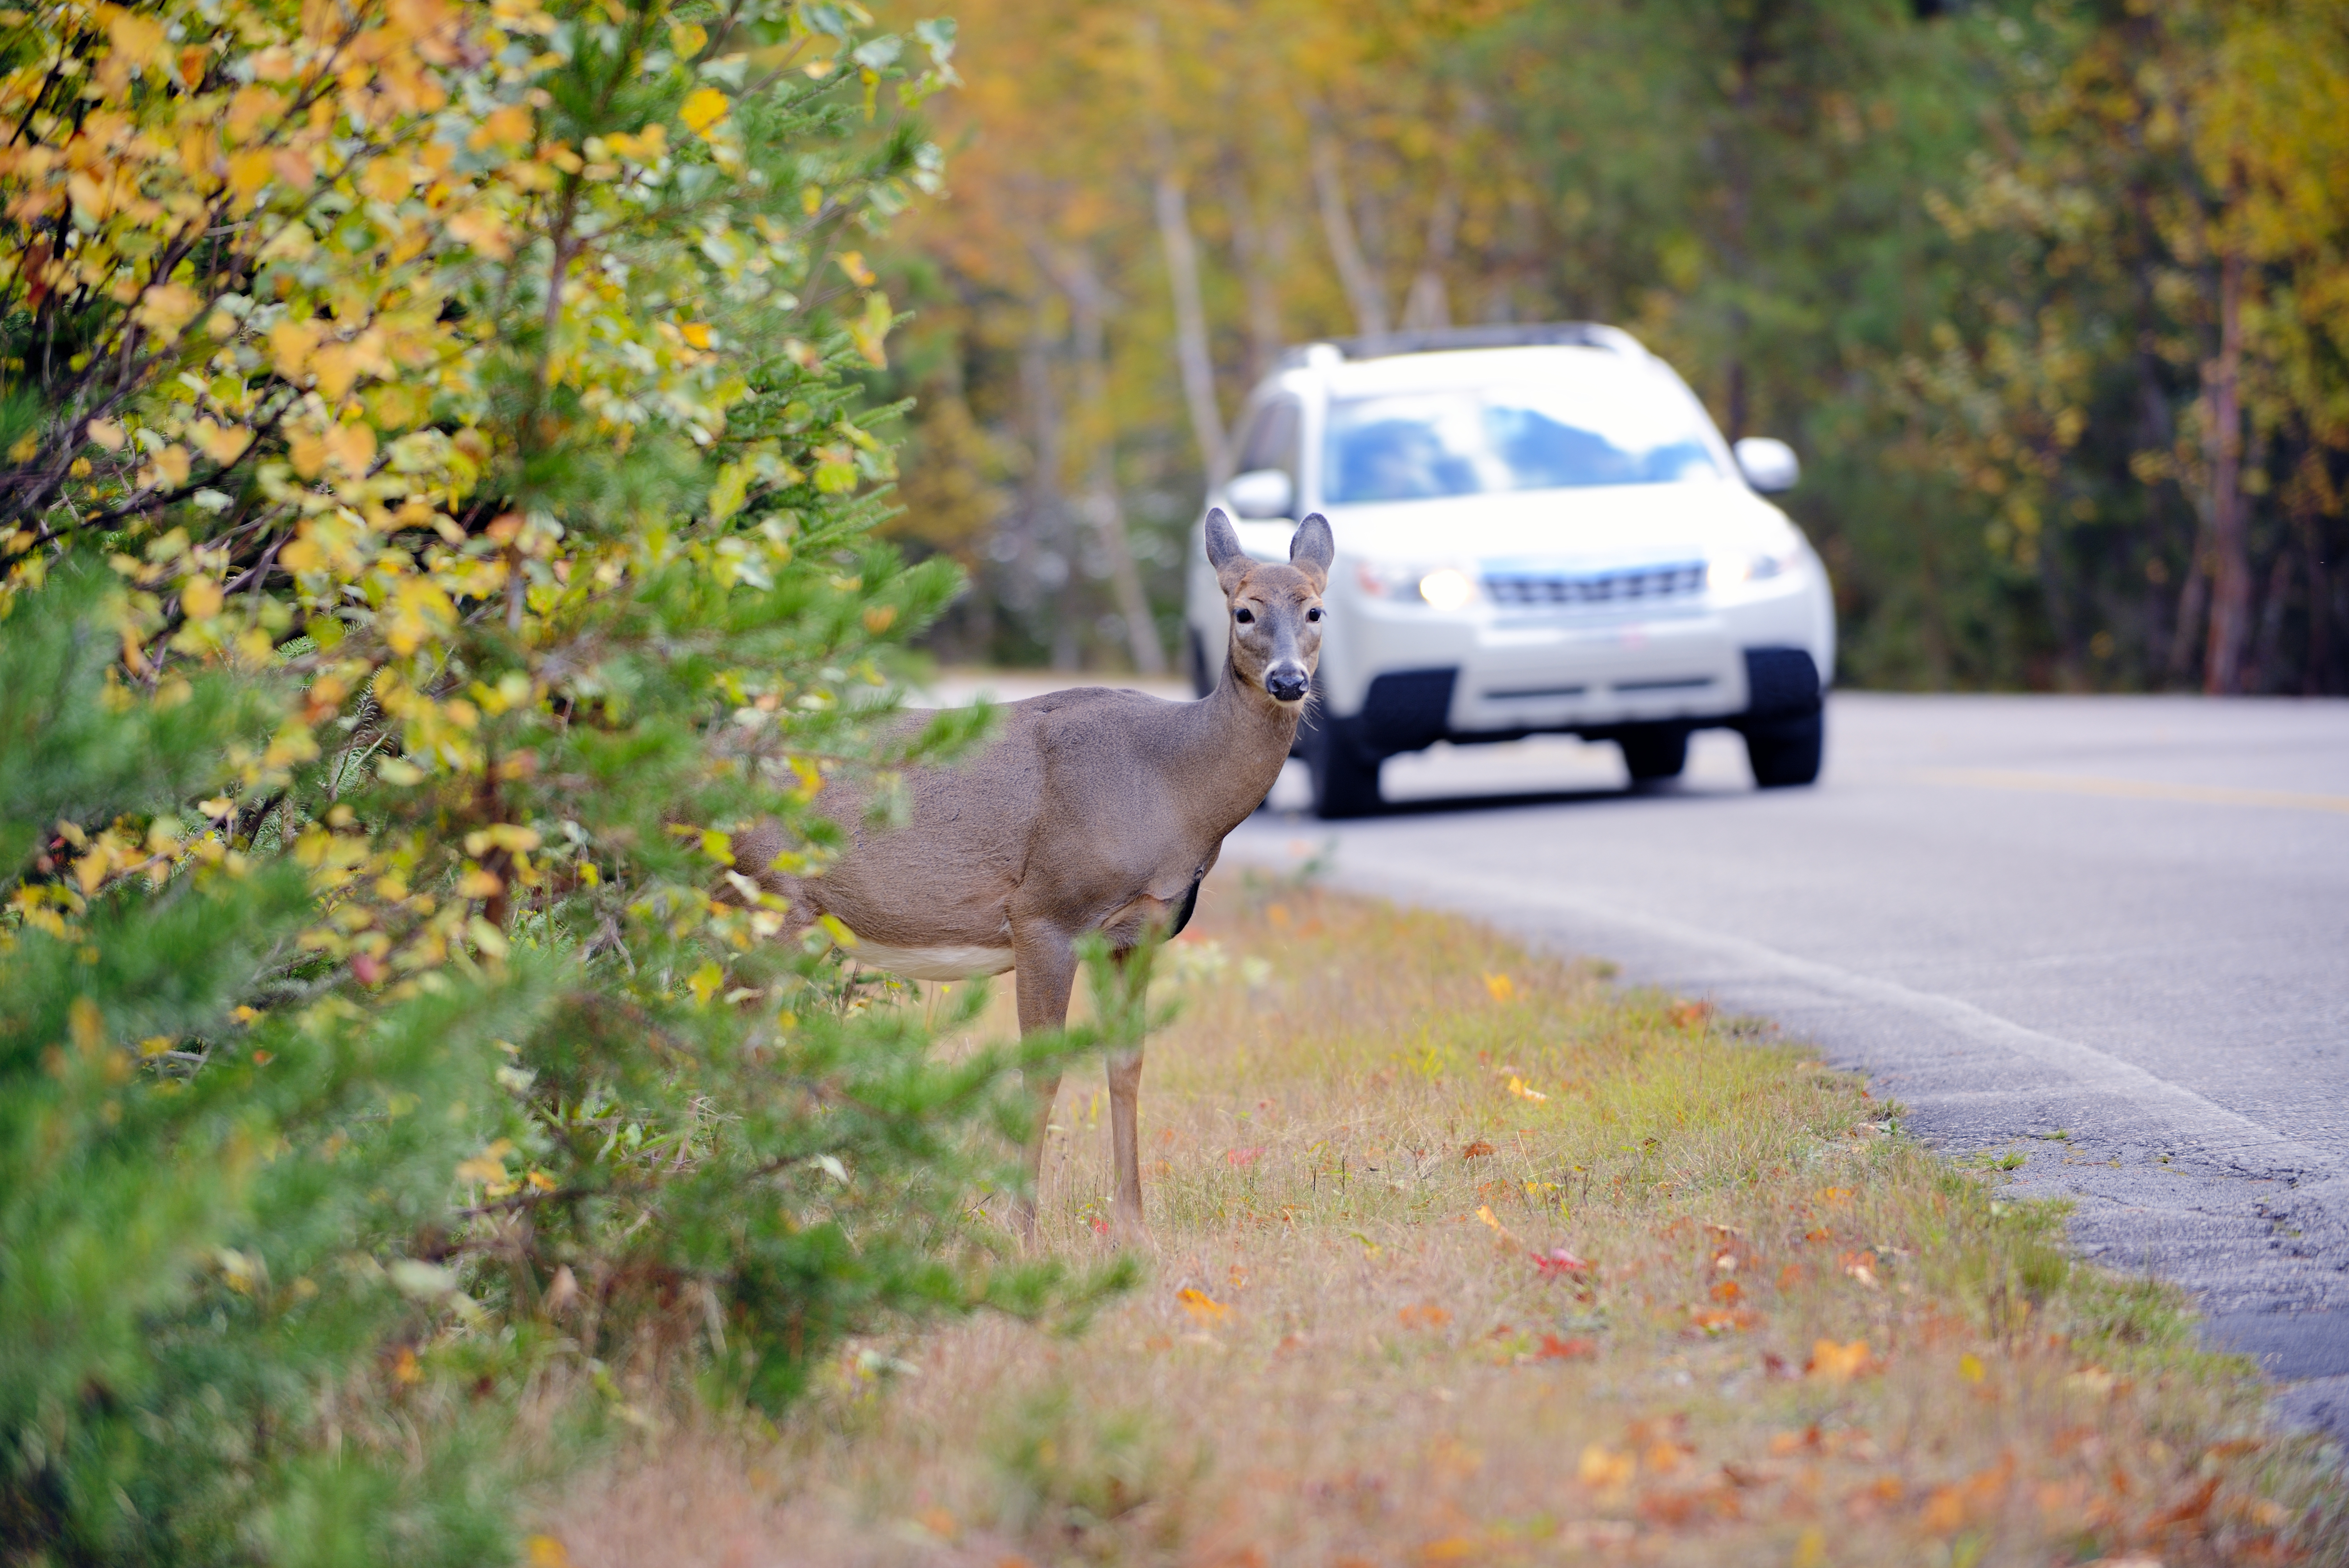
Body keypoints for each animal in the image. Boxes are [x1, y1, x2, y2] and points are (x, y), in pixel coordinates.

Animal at [742, 511, 1334, 1239]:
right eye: (1244, 610)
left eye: (1315, 609)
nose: (1288, 681)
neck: (1171, 784)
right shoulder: (1046, 912)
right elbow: (1041, 1071)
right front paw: (1020, 1229)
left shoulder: (1138, 930)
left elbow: (1127, 1064)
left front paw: (1133, 1225)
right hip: (765, 898)